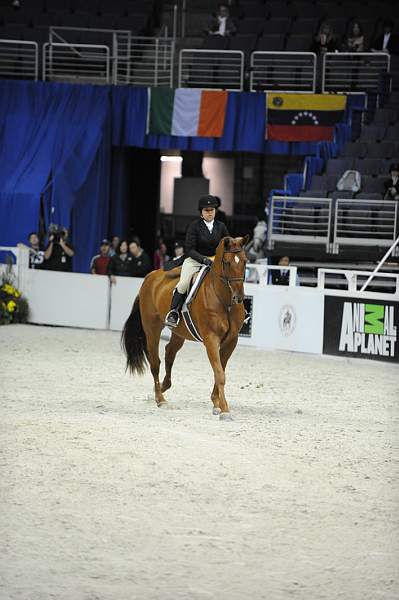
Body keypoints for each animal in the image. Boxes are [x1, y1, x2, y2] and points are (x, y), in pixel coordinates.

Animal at [120, 236, 248, 422]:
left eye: (245, 261)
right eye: (227, 262)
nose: (239, 297)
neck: (224, 300)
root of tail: (151, 276)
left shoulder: (232, 340)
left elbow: (220, 370)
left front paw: (216, 403)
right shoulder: (211, 339)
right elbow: (220, 373)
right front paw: (224, 409)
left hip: (179, 333)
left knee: (169, 352)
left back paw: (163, 387)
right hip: (152, 328)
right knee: (155, 362)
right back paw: (160, 399)